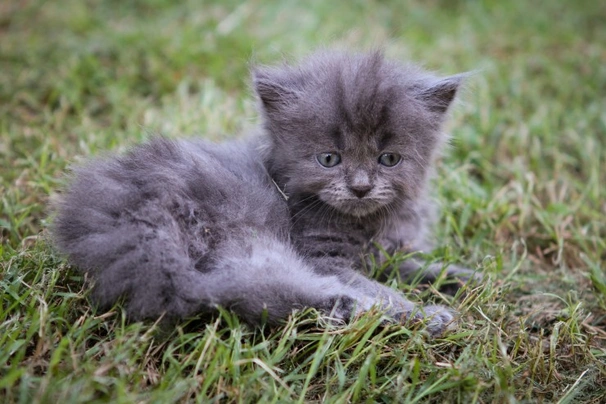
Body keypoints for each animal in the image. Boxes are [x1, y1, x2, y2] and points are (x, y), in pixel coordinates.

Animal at [52, 50, 476, 336]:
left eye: (389, 159)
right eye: (328, 159)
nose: (360, 186)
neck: (369, 223)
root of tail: (124, 215)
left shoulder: (393, 252)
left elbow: (422, 267)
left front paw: (476, 278)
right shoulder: (322, 256)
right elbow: (378, 285)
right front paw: (415, 305)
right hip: (250, 242)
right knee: (276, 291)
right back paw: (405, 315)